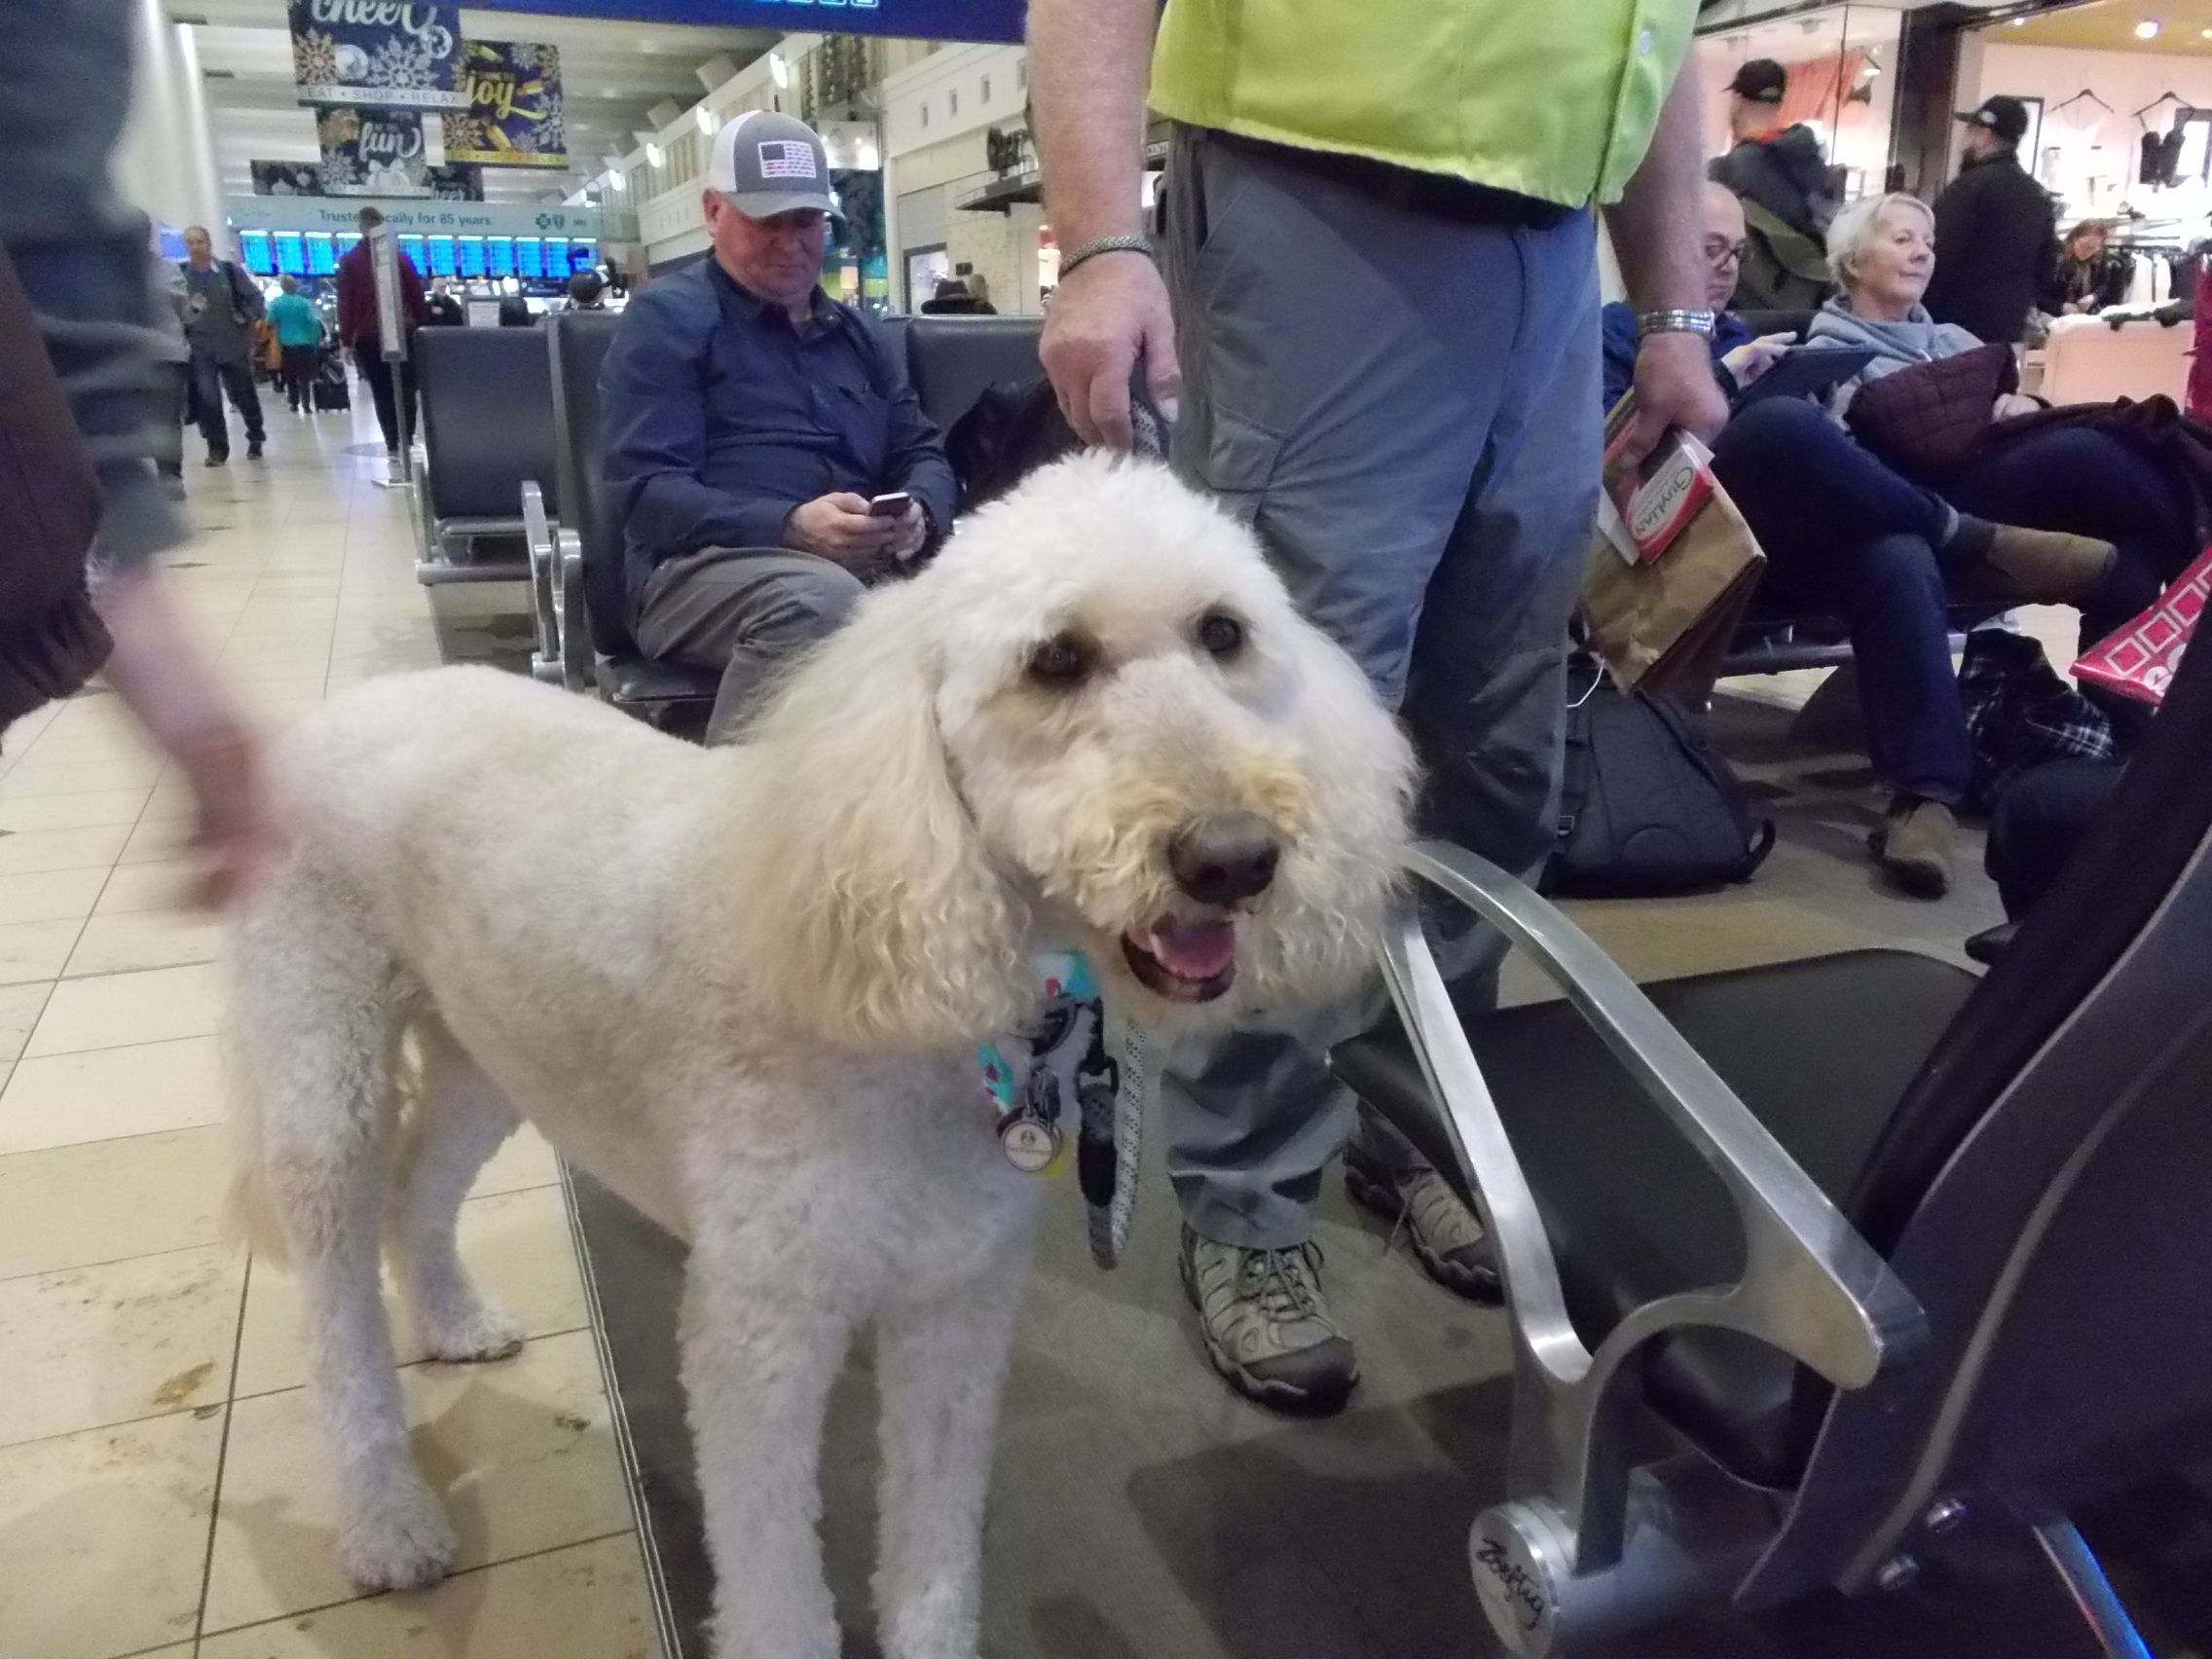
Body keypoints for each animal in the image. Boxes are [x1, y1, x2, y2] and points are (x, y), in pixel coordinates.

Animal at [229, 456, 1416, 1659]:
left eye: (1224, 633)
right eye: (1055, 660)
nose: (1235, 858)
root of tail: (348, 706)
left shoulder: (955, 1310)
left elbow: (933, 1553)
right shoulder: (761, 1333)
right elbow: (775, 1585)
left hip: (485, 1057)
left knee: (417, 1195)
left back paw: (453, 1322)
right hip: (323, 1081)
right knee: (337, 1304)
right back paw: (387, 1521)